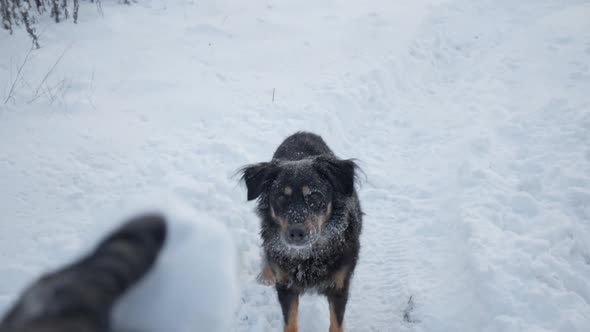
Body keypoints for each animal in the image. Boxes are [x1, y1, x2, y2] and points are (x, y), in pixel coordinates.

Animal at [239, 131, 360, 330]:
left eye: (315, 196)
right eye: (281, 197)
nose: (296, 233)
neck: (308, 256)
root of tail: (301, 132)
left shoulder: (340, 284)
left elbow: (336, 324)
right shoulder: (285, 286)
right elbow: (290, 323)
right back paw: (265, 274)